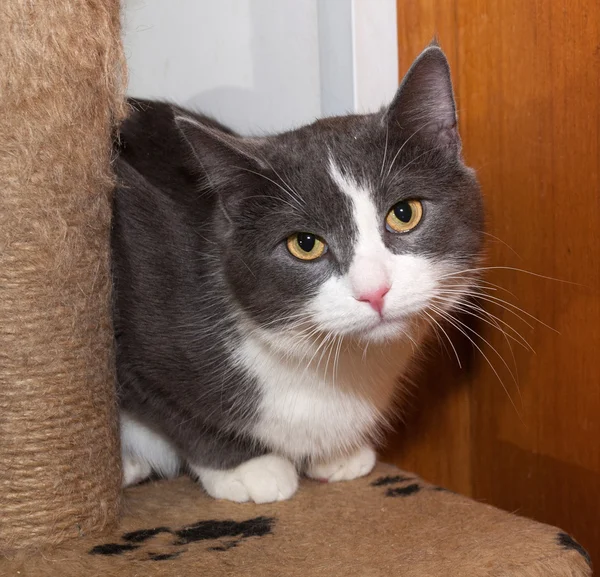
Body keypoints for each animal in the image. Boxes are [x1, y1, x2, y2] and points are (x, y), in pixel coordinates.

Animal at [112, 44, 486, 504]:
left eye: (404, 213)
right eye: (304, 244)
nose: (374, 291)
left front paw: (337, 454)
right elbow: (173, 407)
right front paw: (247, 468)